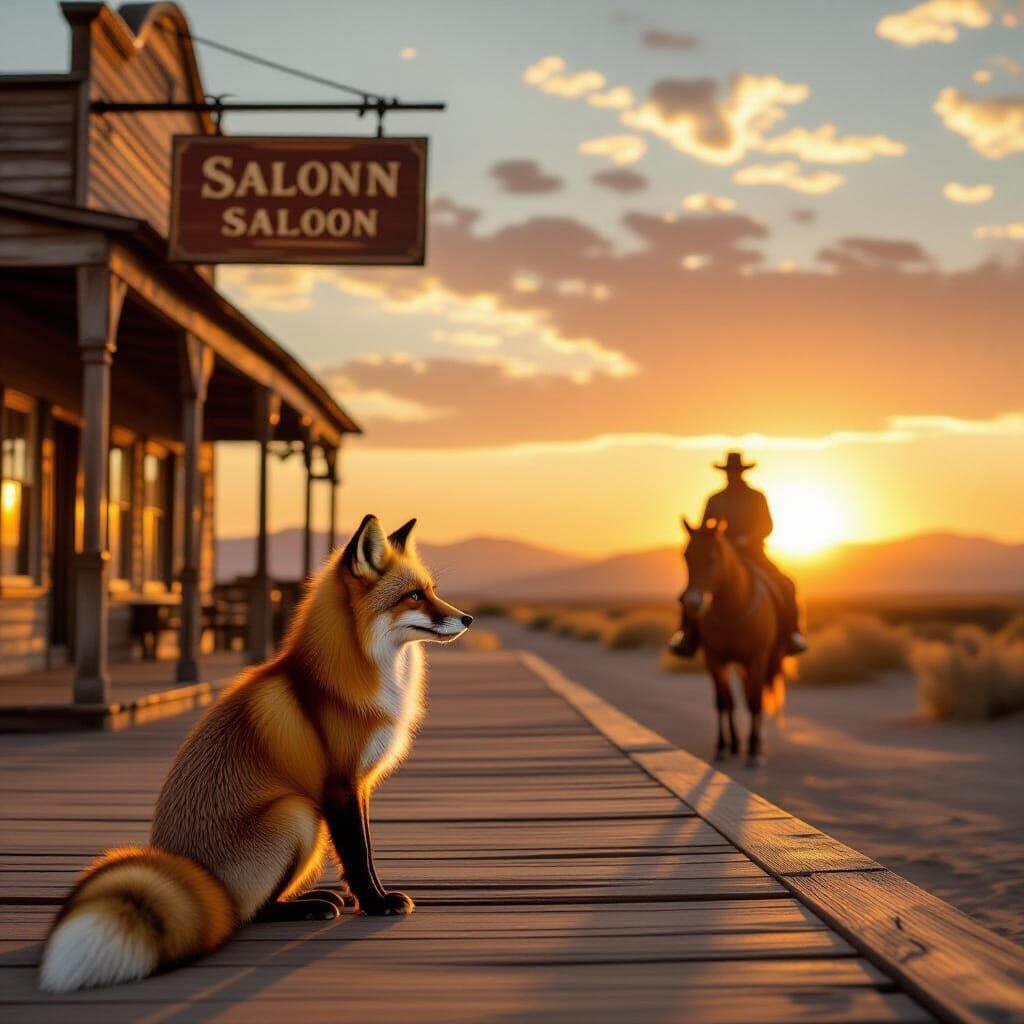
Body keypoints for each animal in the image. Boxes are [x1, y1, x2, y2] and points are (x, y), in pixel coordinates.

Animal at [38, 514, 472, 993]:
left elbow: (365, 850)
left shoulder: (359, 786)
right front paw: (376, 903)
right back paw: (307, 906)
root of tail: (194, 877)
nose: (467, 618)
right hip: (298, 813)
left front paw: (370, 896)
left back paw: (316, 896)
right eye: (414, 596)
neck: (346, 678)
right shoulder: (339, 785)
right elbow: (359, 854)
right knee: (247, 913)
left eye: (432, 589)